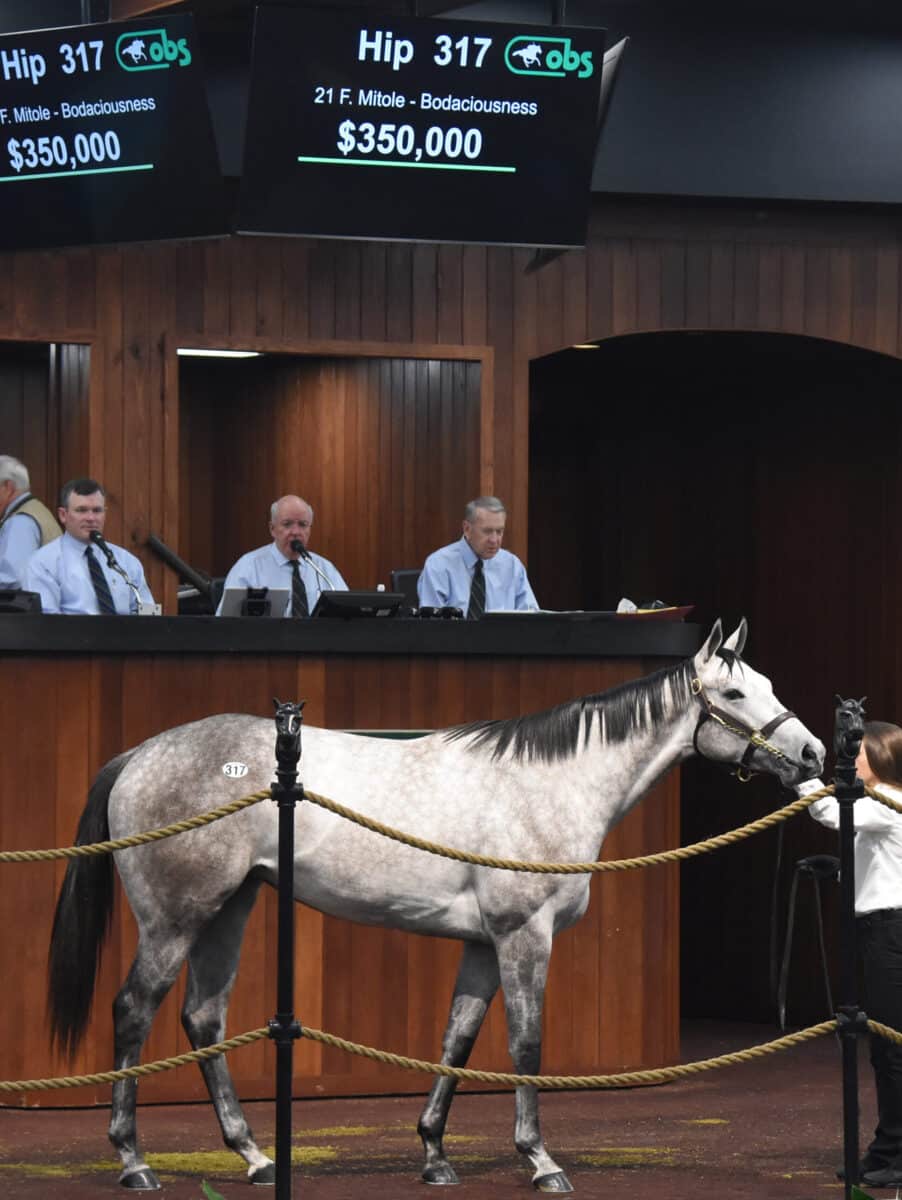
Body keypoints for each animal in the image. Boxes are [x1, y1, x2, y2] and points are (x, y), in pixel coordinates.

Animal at [47, 619, 825, 1190]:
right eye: (735, 695)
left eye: (766, 684)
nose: (815, 754)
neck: (547, 783)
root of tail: (139, 755)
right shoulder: (523, 936)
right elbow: (525, 1043)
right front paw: (540, 1161)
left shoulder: (482, 943)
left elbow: (458, 1039)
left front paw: (434, 1156)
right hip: (175, 919)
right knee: (133, 1010)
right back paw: (135, 1161)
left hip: (229, 911)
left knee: (203, 1018)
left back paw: (255, 1156)